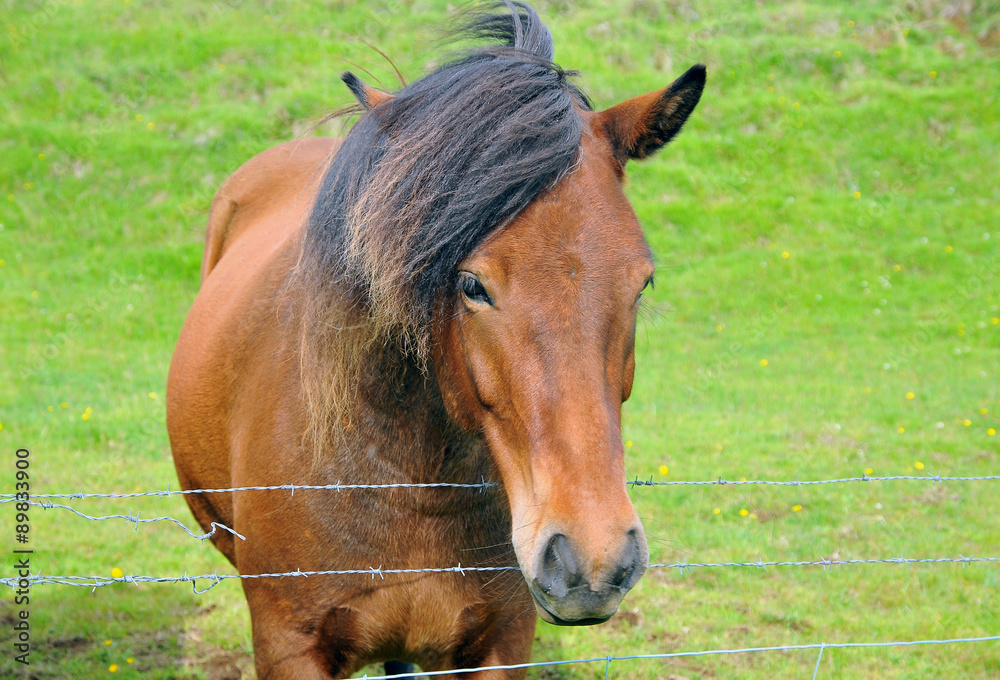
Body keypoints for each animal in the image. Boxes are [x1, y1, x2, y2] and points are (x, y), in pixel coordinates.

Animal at [166, 2, 705, 678]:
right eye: (472, 285)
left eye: (642, 282)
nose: (593, 562)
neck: (410, 482)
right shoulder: (290, 646)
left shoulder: (503, 640)